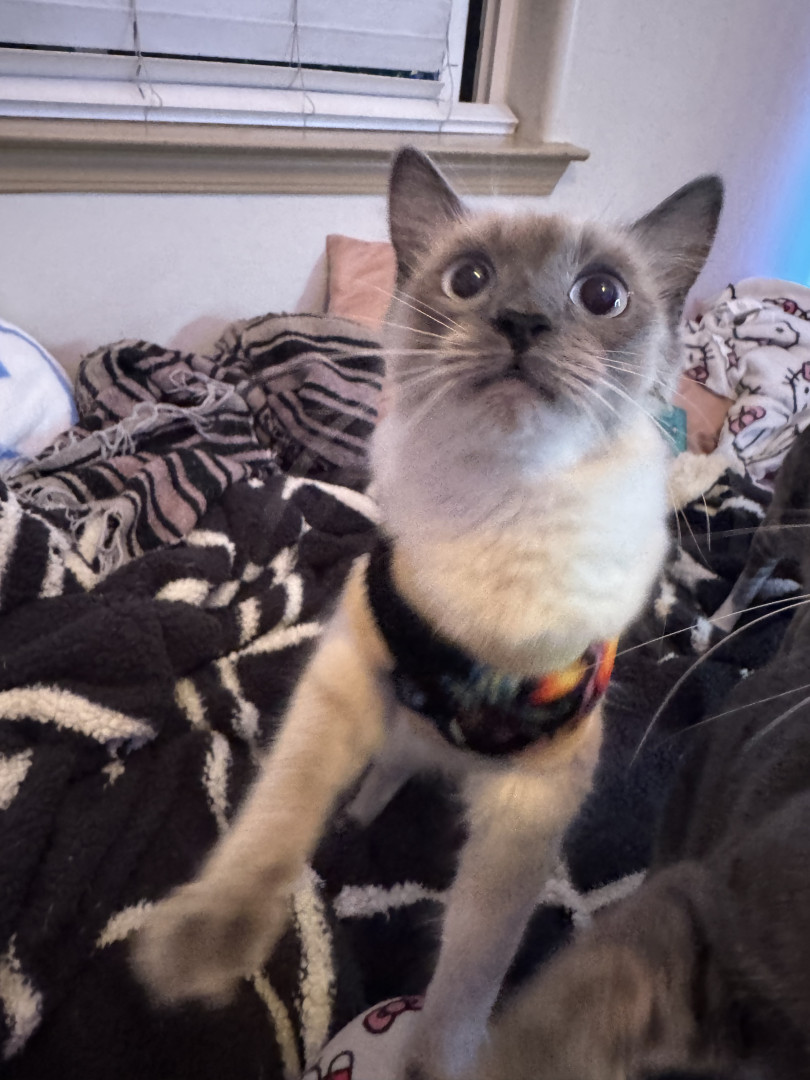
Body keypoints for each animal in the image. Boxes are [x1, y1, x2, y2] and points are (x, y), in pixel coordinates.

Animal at [132, 148, 722, 1080]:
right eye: (468, 279)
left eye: (601, 295)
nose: (521, 322)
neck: (504, 518)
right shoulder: (350, 677)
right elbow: (276, 819)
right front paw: (200, 952)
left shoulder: (530, 799)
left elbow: (473, 966)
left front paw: (441, 1060)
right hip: (390, 724)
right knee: (383, 771)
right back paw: (358, 820)